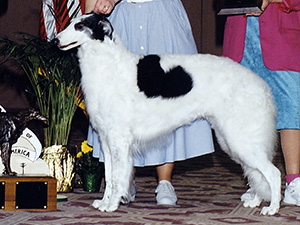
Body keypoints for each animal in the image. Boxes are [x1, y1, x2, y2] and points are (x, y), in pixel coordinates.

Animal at [54, 13, 282, 215]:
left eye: (79, 26)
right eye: (71, 23)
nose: (55, 40)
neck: (108, 64)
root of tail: (263, 86)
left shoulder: (119, 140)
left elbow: (118, 178)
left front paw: (111, 205)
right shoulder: (105, 140)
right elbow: (110, 177)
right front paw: (104, 202)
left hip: (239, 139)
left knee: (273, 172)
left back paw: (272, 208)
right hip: (232, 140)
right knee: (257, 173)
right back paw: (255, 201)